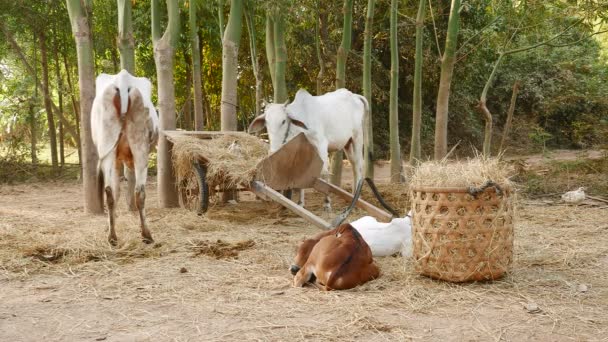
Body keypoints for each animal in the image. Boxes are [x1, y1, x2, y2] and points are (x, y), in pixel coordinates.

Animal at [91, 70, 159, 246]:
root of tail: (123, 81)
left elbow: (116, 191)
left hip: (108, 145)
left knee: (109, 192)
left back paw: (112, 237)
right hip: (140, 147)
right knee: (139, 192)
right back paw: (146, 234)